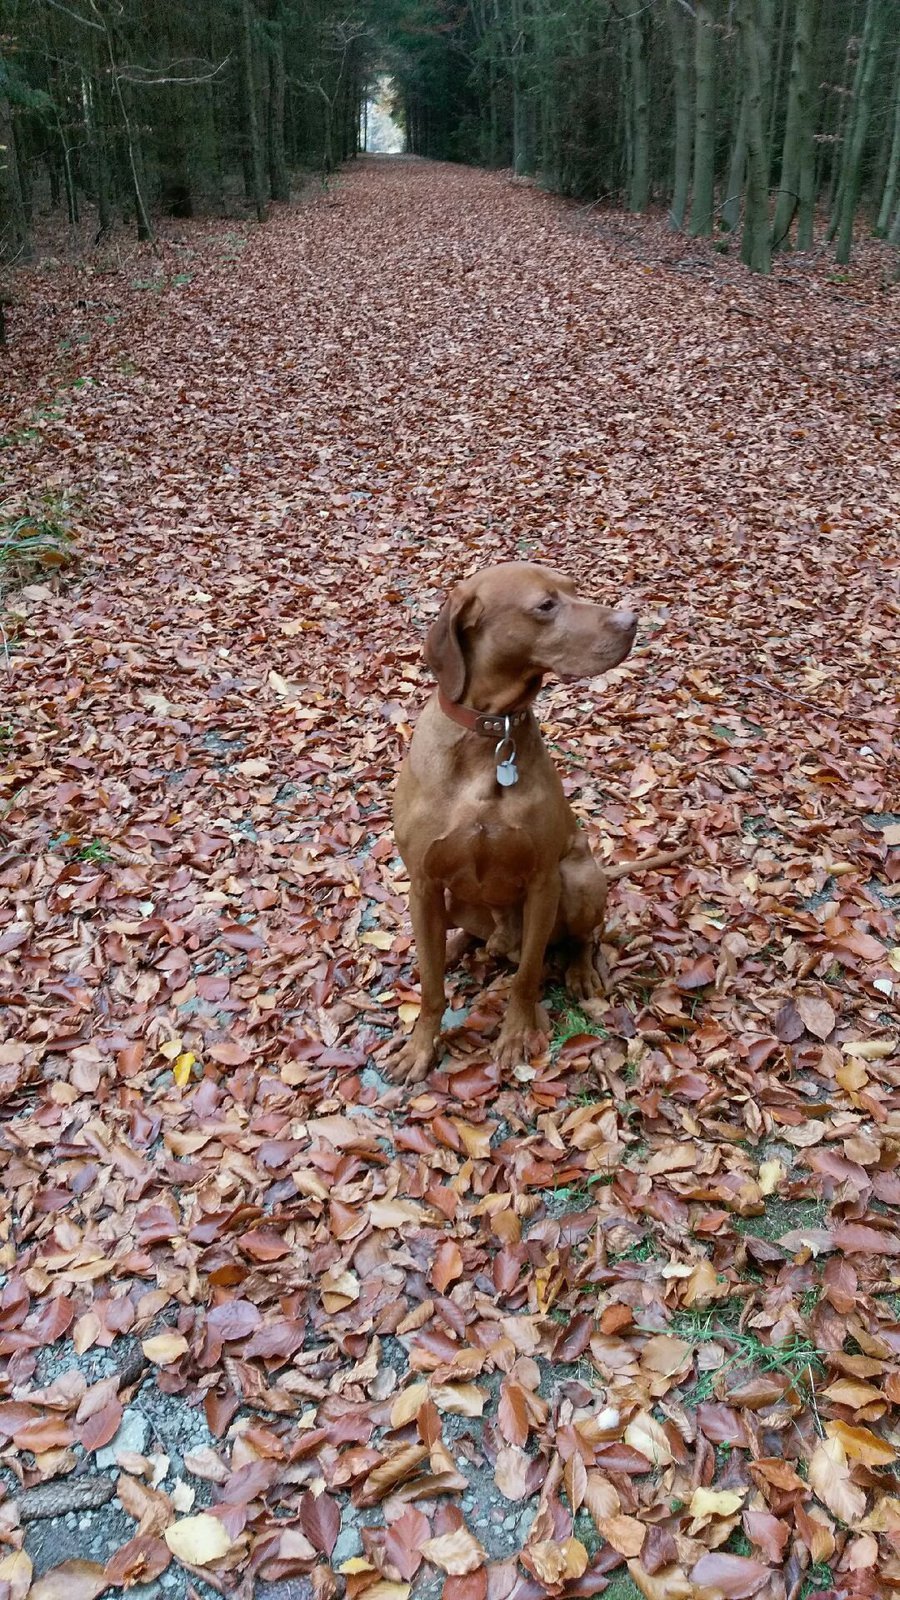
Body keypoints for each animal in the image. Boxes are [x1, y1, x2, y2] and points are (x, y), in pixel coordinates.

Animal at [389, 563, 675, 1088]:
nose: (631, 621)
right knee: (463, 933)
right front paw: (420, 1047)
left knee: (582, 937)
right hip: (451, 899)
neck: (489, 736)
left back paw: (580, 971)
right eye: (545, 605)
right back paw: (456, 944)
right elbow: (432, 986)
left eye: (575, 591)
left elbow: (527, 976)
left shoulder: (543, 881)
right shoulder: (423, 882)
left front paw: (517, 1034)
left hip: (579, 877)